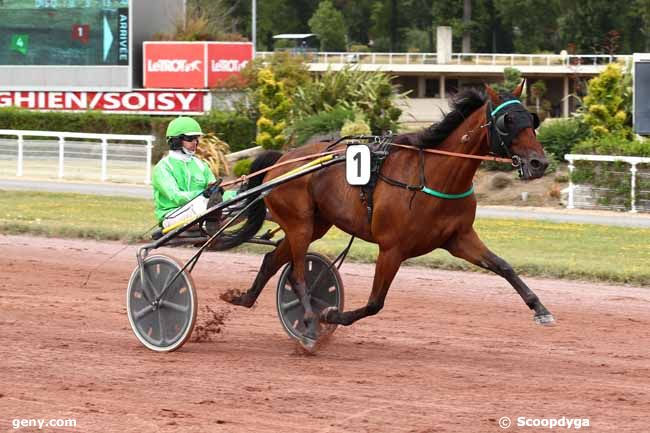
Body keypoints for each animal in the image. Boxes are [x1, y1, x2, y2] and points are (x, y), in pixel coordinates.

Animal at [219, 82, 552, 342]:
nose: (539, 163)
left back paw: (242, 298)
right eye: (507, 121)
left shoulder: (459, 238)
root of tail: (283, 159)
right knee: (298, 275)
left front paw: (540, 309)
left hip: (314, 224)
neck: (433, 175)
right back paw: (311, 321)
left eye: (532, 119)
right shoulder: (392, 248)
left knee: (272, 259)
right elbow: (375, 302)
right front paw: (331, 314)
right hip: (299, 223)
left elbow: (504, 266)